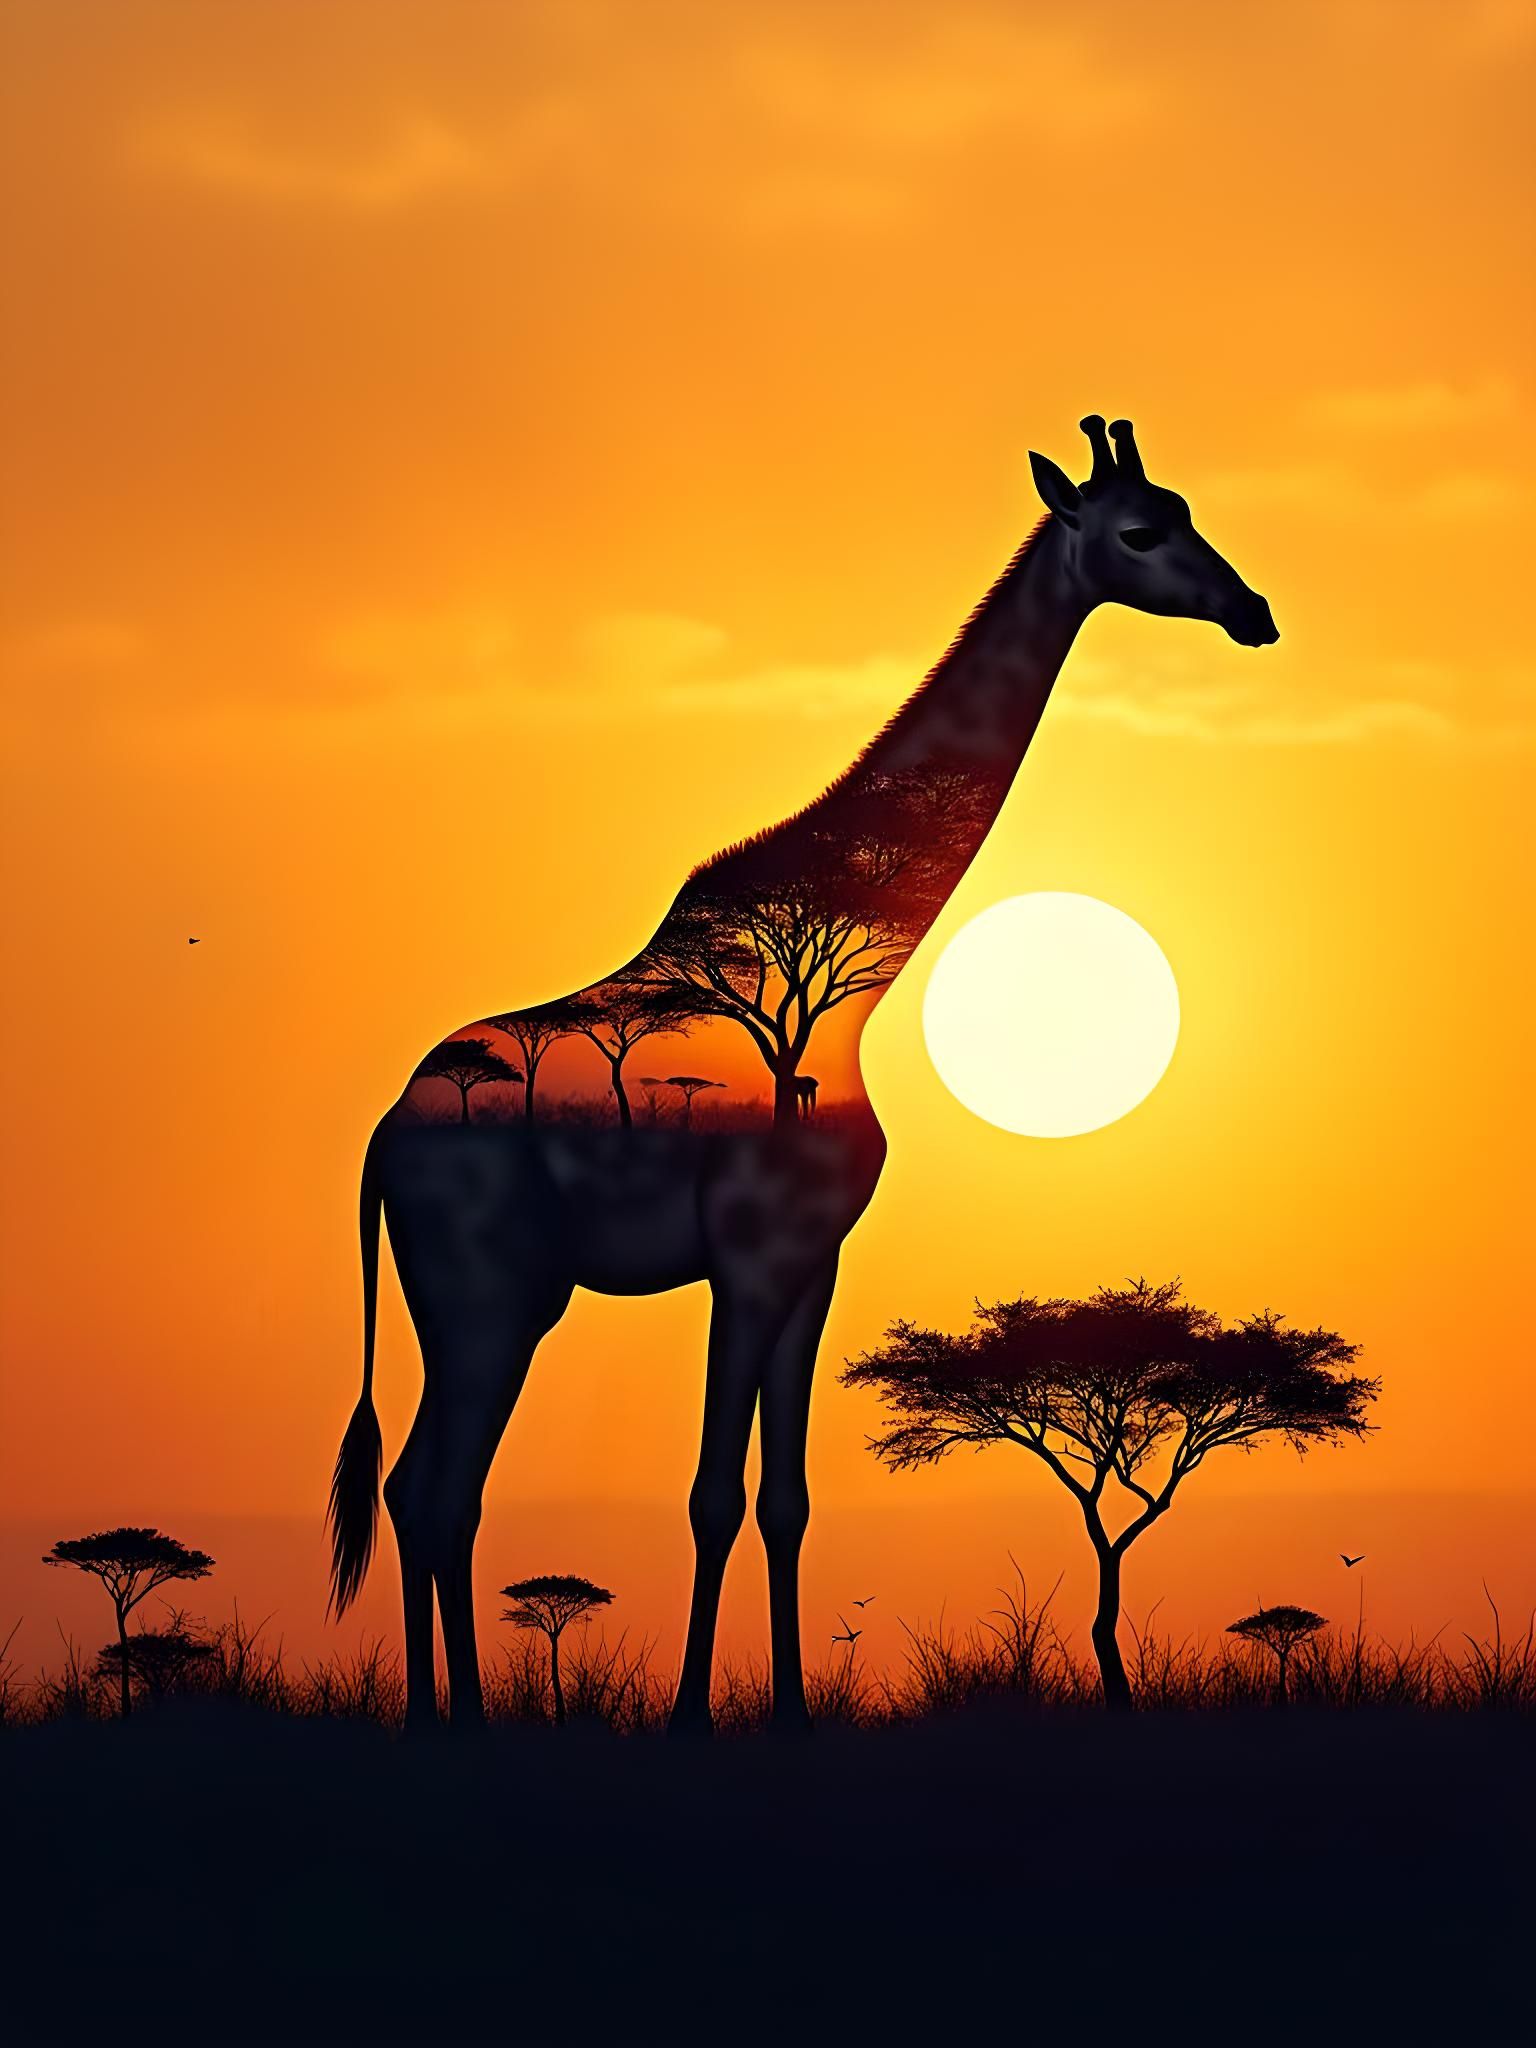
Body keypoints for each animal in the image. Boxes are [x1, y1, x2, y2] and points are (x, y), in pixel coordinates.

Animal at [327, 416, 1277, 1733]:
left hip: (481, 1291)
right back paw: (449, 1717)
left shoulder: (816, 1262)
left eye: (1190, 509)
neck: (860, 981)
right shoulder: (751, 1253)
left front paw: (783, 1705)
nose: (1255, 612)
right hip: (488, 1287)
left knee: (424, 1483)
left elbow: (786, 1498)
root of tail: (381, 1132)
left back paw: (441, 1713)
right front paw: (688, 1714)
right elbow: (712, 1492)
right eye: (1141, 530)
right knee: (437, 1485)